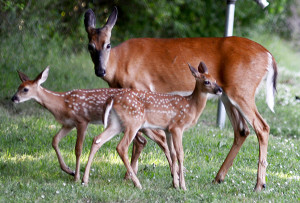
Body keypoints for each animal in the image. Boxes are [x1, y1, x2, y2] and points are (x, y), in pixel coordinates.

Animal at [11, 67, 172, 182]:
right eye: (18, 87)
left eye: (25, 89)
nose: (13, 98)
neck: (62, 103)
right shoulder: (68, 124)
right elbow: (54, 140)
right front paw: (68, 170)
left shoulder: (82, 120)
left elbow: (78, 149)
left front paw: (76, 177)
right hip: (140, 125)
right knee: (154, 139)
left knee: (152, 139)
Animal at [82, 62, 223, 190]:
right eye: (206, 82)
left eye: (215, 80)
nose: (220, 90)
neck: (190, 107)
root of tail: (112, 99)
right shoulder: (178, 127)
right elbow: (180, 154)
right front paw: (183, 186)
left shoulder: (168, 129)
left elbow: (172, 153)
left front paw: (175, 184)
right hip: (134, 121)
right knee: (121, 147)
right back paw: (137, 183)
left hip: (116, 123)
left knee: (97, 139)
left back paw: (85, 180)